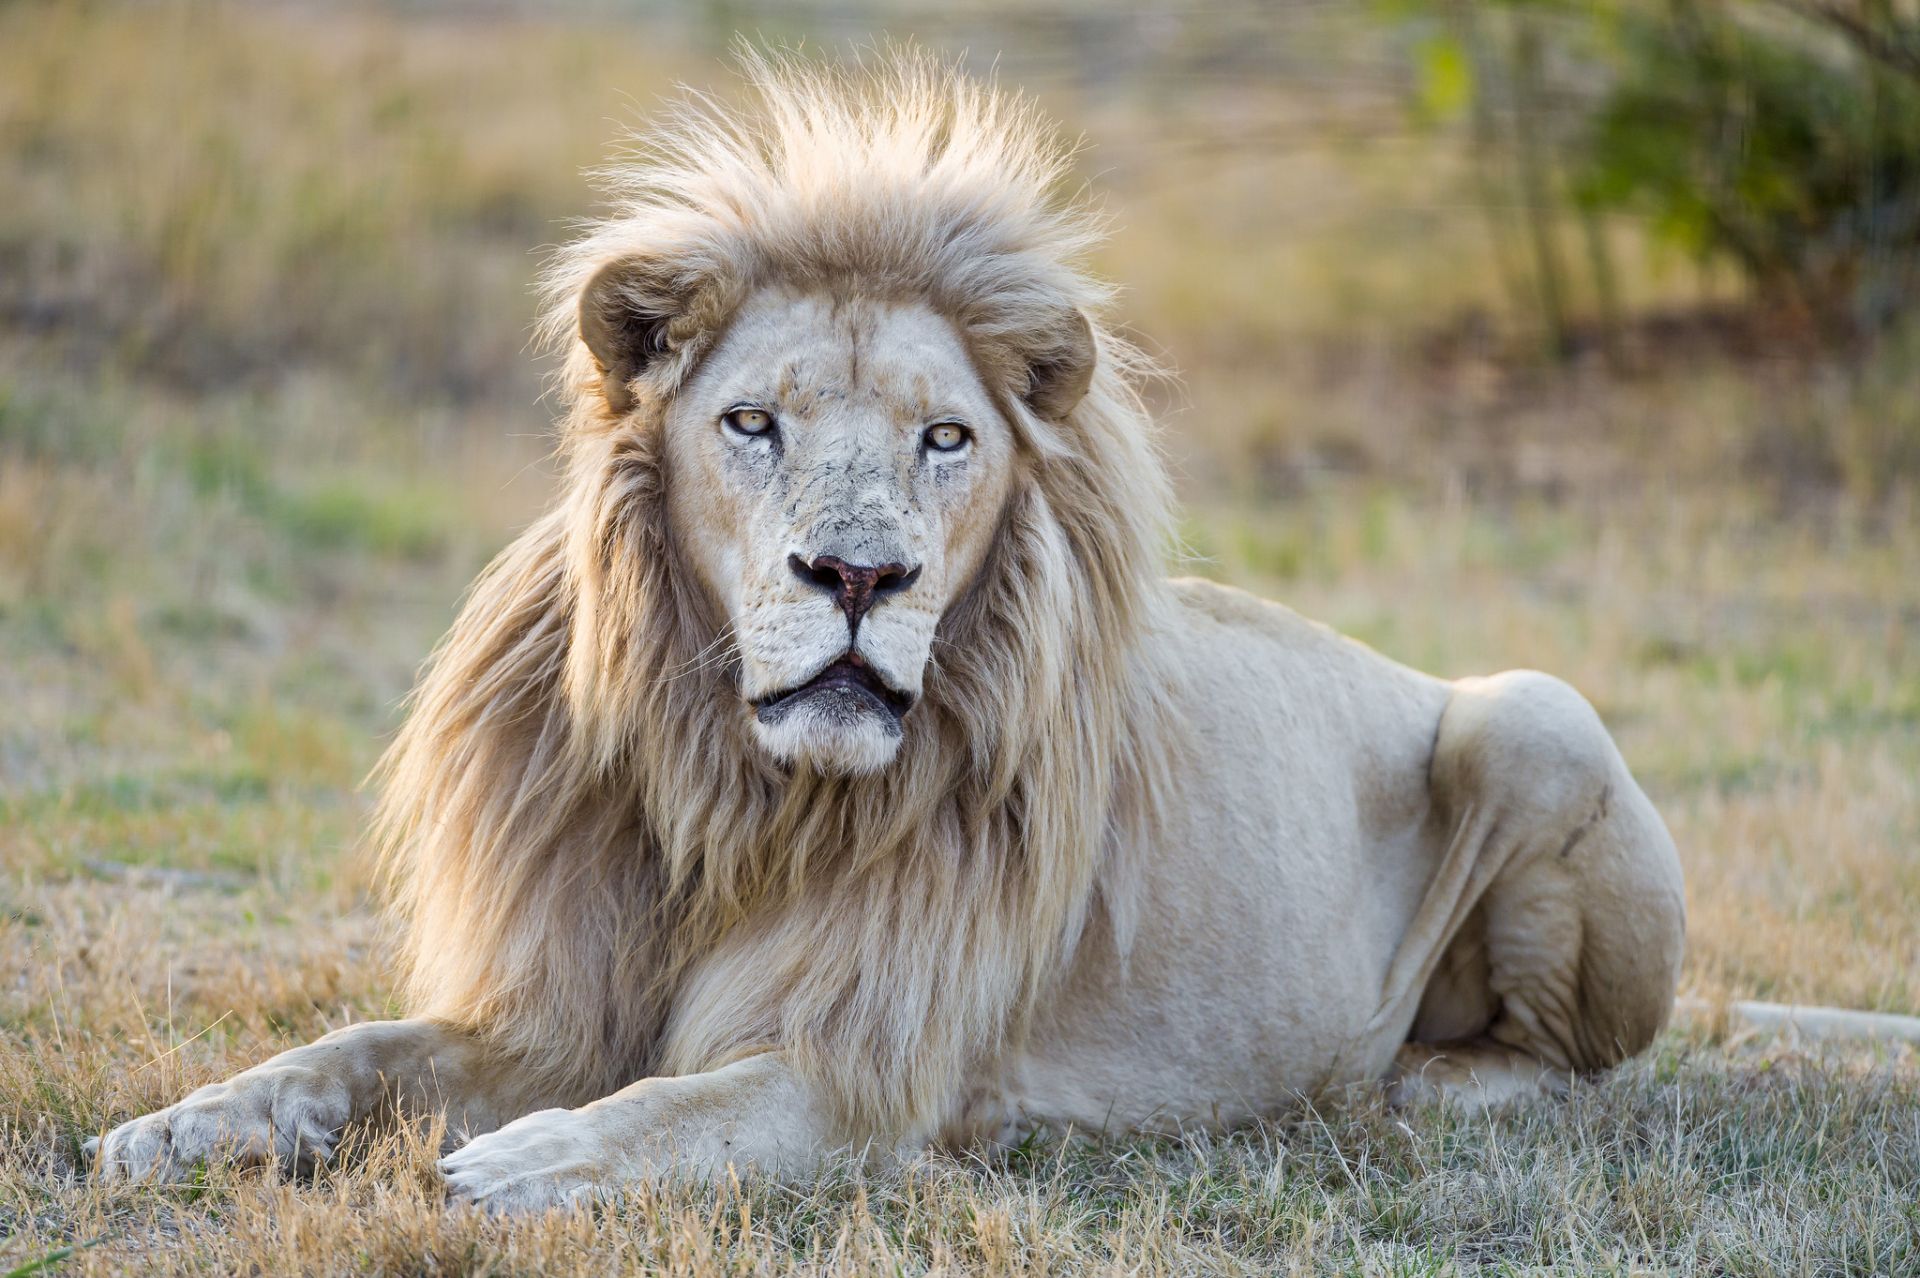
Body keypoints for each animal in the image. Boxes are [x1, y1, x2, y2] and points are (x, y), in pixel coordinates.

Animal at [91, 52, 1686, 1212]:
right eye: (752, 423)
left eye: (944, 438)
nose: (857, 574)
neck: (730, 794)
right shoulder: (555, 1006)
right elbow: (353, 1052)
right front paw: (172, 1129)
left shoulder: (867, 1073)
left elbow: (682, 1107)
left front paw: (521, 1163)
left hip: (1535, 712)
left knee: (1574, 1068)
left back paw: (1407, 1080)